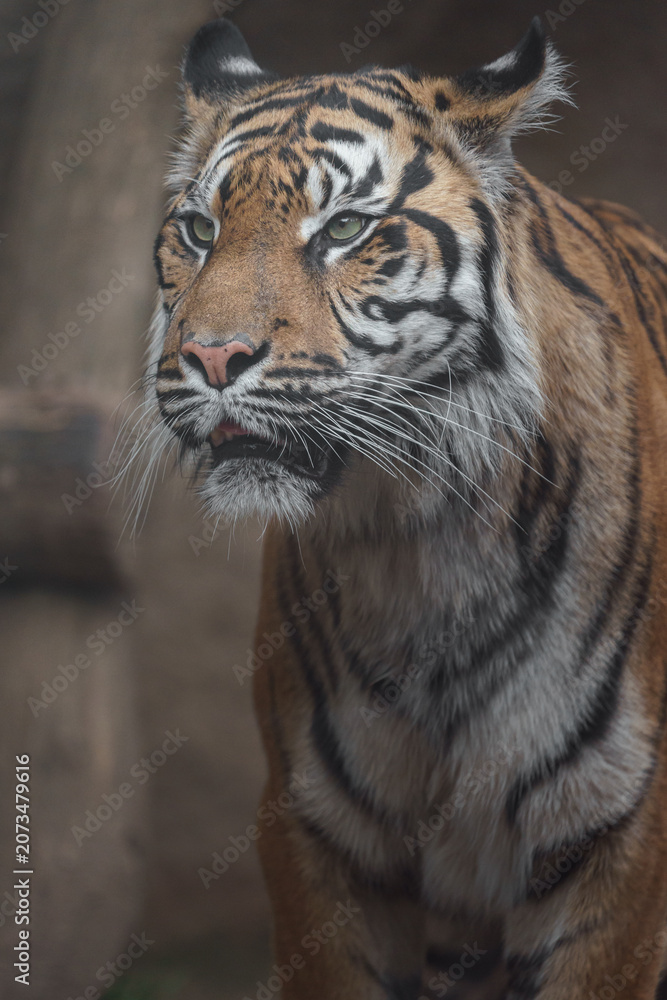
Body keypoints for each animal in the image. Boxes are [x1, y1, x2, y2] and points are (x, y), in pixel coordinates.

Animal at [146, 13, 667, 999]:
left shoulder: (618, 833)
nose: (212, 356)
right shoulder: (314, 827)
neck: (422, 540)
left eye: (346, 228)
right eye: (197, 231)